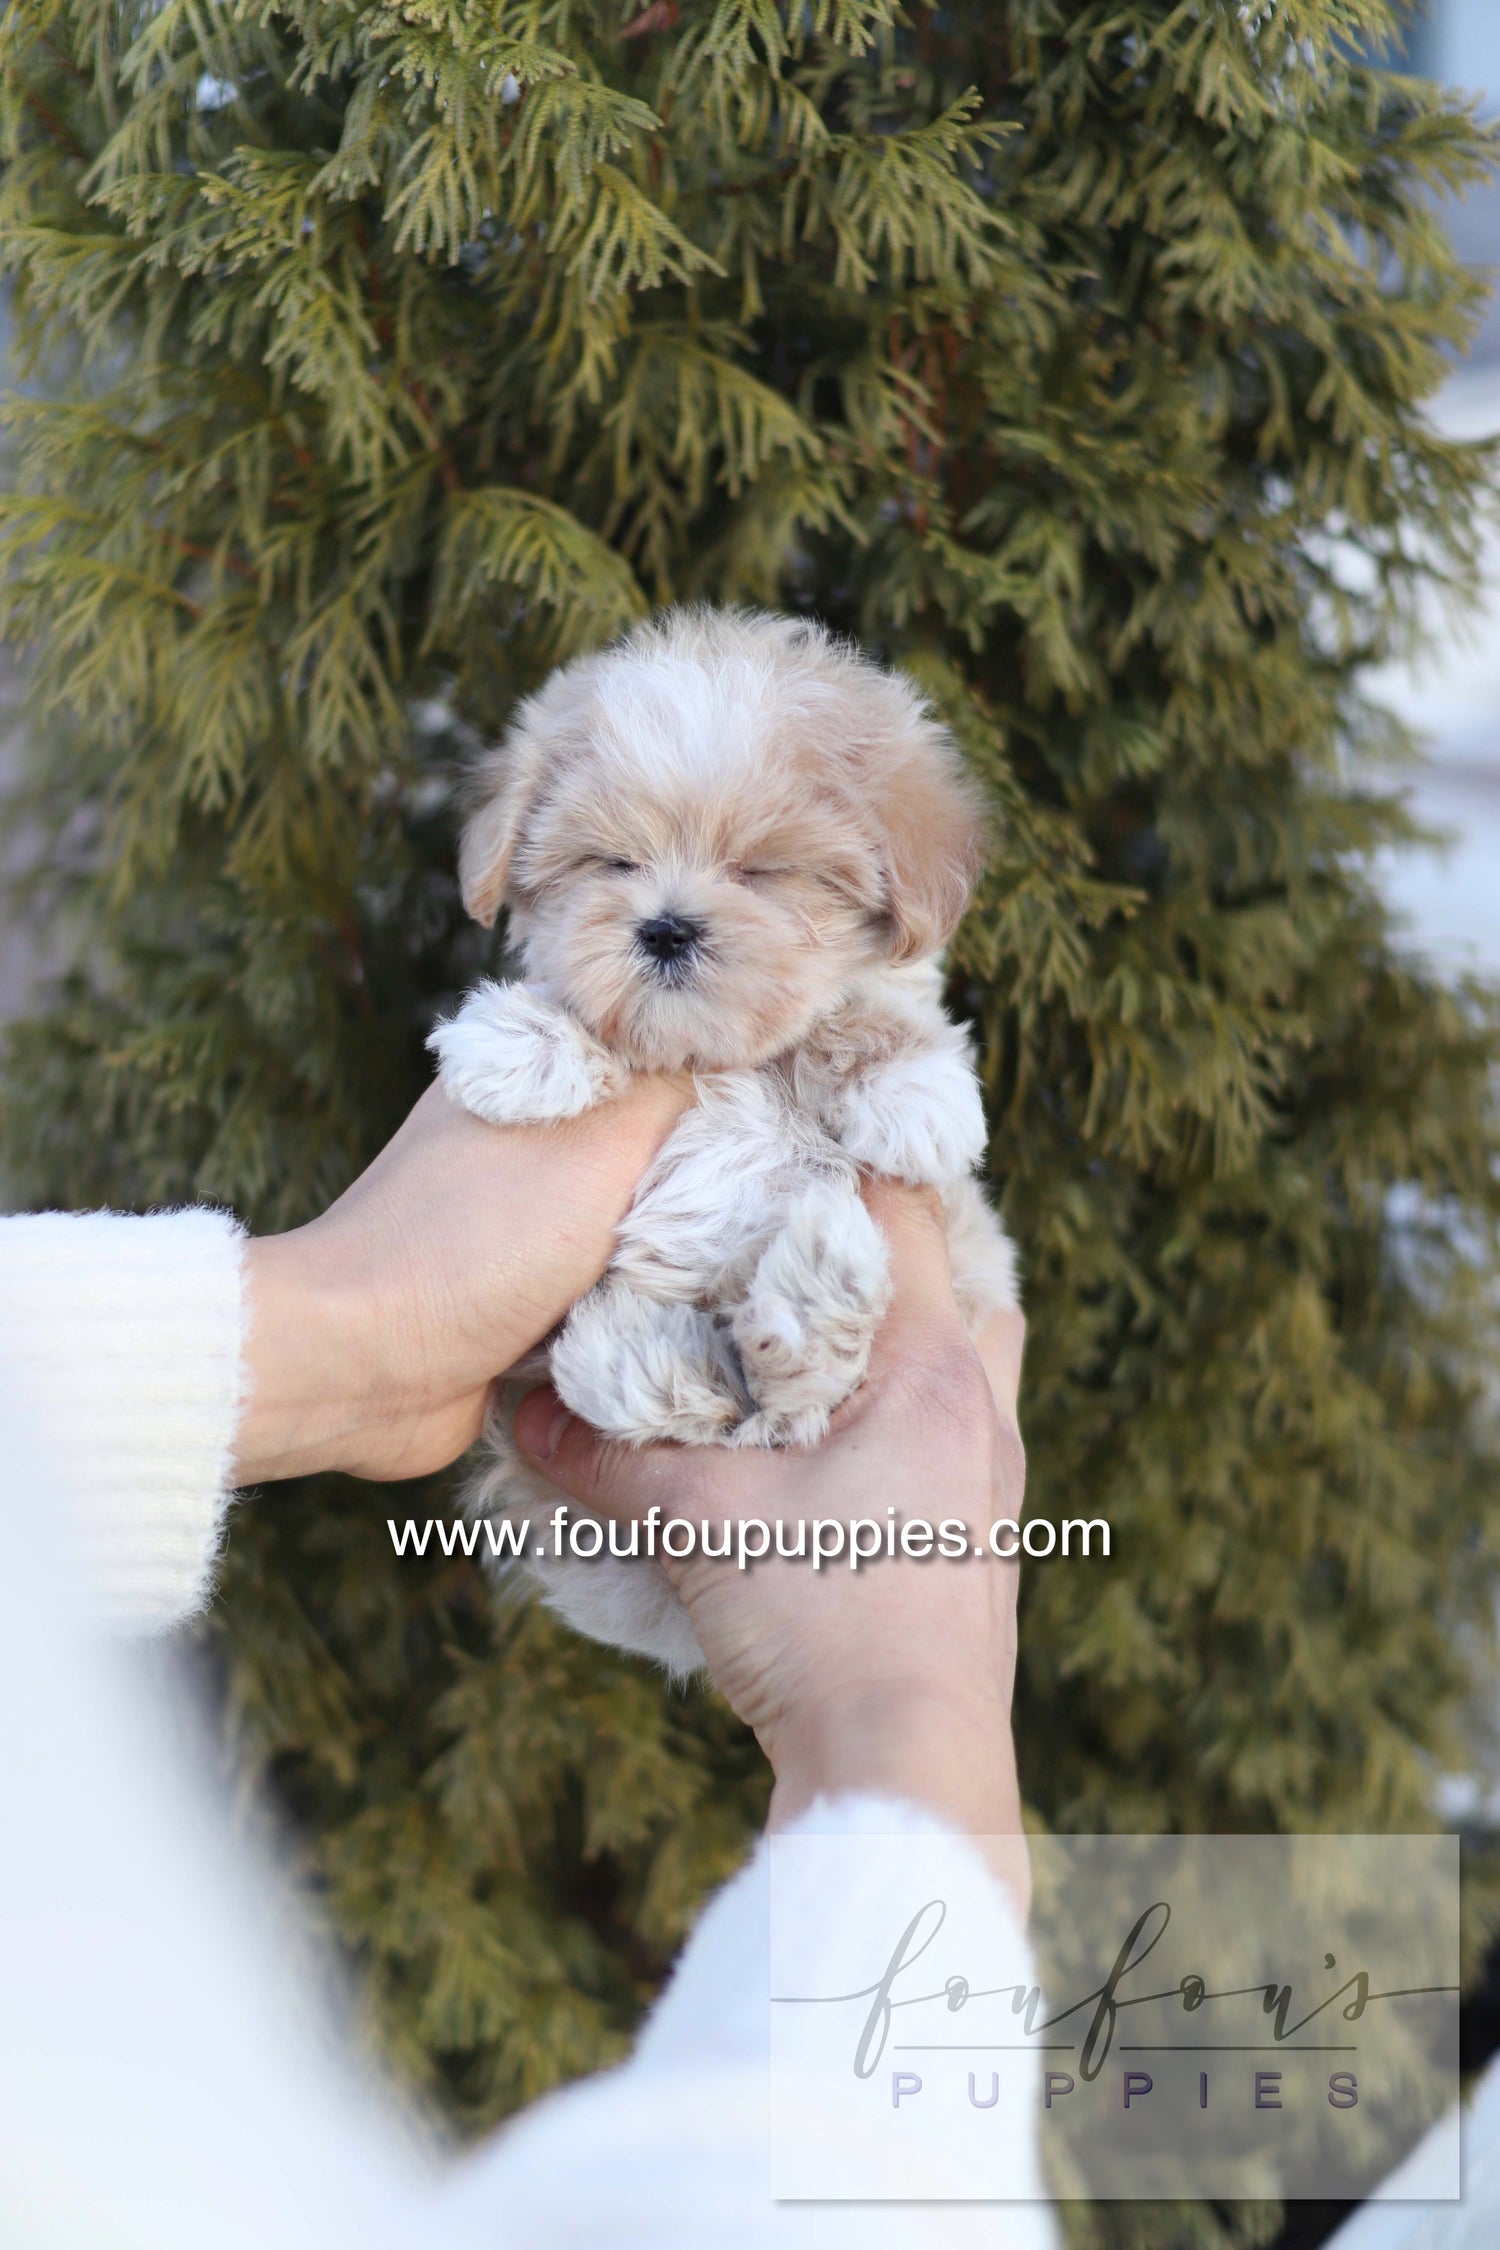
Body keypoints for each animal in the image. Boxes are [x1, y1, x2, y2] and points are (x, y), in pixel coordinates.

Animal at [434, 603, 1020, 1674]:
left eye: (764, 872)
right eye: (611, 863)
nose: (666, 928)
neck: (719, 1066)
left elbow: (854, 1016)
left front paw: (913, 1085)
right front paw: (524, 1042)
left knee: (784, 1411)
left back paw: (812, 1292)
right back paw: (637, 1348)